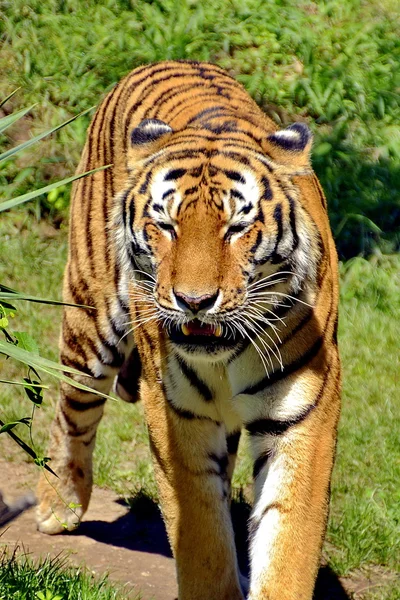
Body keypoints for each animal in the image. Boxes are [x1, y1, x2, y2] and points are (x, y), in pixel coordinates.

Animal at [36, 59, 340, 600]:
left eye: (237, 228)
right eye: (166, 225)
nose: (194, 302)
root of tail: (162, 60)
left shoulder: (304, 415)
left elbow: (286, 538)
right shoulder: (177, 414)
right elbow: (201, 536)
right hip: (90, 322)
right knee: (74, 410)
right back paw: (57, 506)